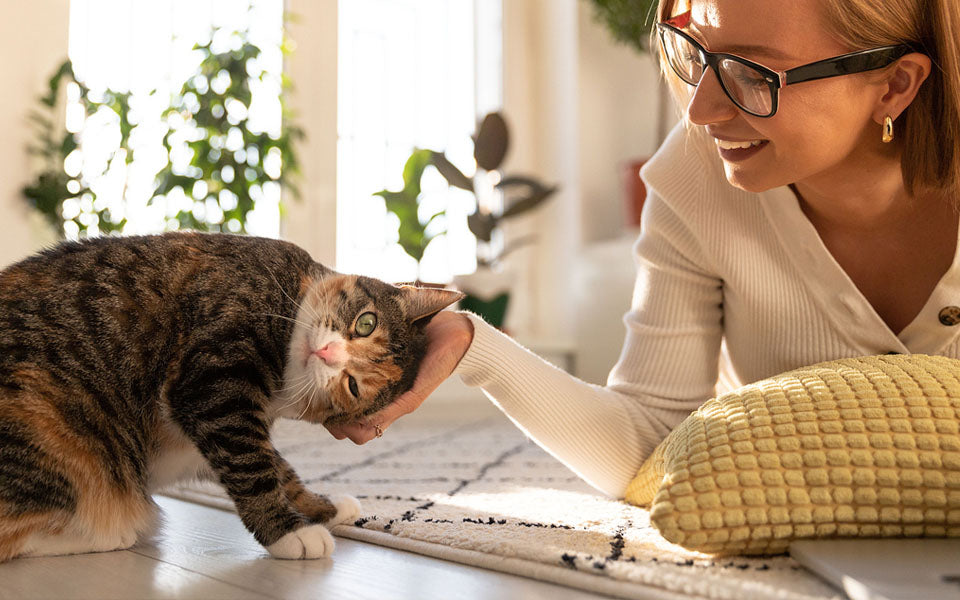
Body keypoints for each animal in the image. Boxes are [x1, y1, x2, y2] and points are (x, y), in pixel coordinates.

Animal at [0, 232, 462, 560]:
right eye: (365, 323)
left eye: (352, 386)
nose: (327, 353)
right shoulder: (213, 387)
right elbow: (253, 468)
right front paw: (291, 534)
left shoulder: (216, 420)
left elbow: (278, 467)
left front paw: (327, 506)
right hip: (45, 415)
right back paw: (116, 529)